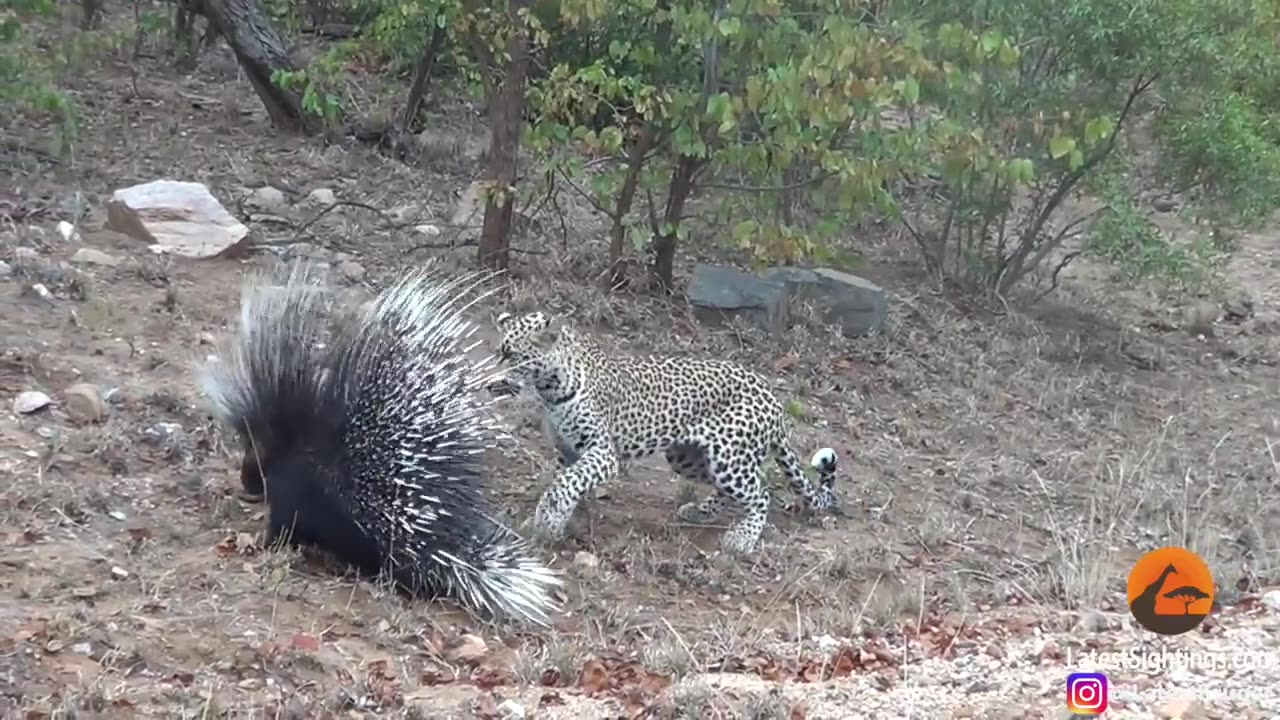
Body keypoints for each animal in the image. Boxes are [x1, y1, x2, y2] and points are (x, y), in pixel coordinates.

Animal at [486, 310, 839, 556]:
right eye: (498, 352)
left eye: (511, 355)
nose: (490, 379)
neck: (551, 389)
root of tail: (771, 394)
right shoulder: (567, 449)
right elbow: (568, 482)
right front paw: (560, 520)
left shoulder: (604, 453)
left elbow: (564, 484)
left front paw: (546, 521)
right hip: (688, 457)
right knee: (736, 489)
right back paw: (699, 511)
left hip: (729, 458)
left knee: (763, 492)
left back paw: (741, 539)